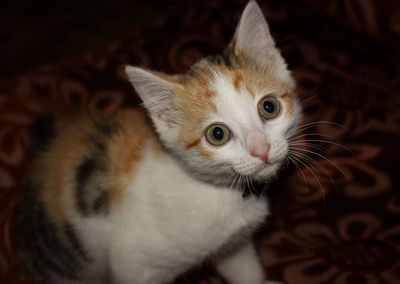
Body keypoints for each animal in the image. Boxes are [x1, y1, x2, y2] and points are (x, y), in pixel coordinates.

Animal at [17, 1, 302, 282]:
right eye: (217, 135)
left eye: (269, 107)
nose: (261, 149)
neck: (220, 191)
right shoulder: (132, 264)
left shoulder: (232, 245)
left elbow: (244, 269)